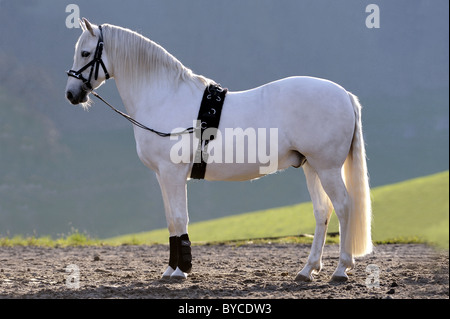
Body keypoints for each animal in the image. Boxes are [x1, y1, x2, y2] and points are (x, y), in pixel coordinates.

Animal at [65, 19, 370, 282]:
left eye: (85, 52)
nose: (71, 94)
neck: (164, 97)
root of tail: (345, 95)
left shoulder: (173, 173)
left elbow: (180, 218)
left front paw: (181, 271)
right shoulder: (162, 175)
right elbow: (171, 222)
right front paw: (170, 270)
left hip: (327, 168)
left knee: (344, 206)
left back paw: (341, 269)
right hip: (311, 166)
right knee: (322, 212)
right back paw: (308, 270)